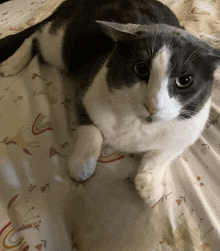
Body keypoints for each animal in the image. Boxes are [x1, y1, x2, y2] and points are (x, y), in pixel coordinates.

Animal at [0, 0, 220, 206]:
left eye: (185, 80)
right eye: (141, 69)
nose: (153, 105)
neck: (138, 124)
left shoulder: (189, 129)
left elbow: (162, 154)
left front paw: (149, 184)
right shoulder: (87, 88)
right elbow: (91, 130)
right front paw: (82, 163)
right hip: (62, 45)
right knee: (37, 35)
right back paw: (12, 63)